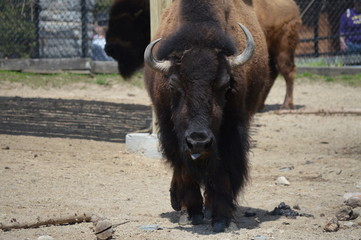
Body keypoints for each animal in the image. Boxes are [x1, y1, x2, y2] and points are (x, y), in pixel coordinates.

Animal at [142, 0, 268, 232]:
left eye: (225, 85)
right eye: (173, 85)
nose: (198, 141)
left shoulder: (230, 133)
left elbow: (222, 171)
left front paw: (222, 219)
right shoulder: (173, 135)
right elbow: (184, 168)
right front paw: (190, 213)